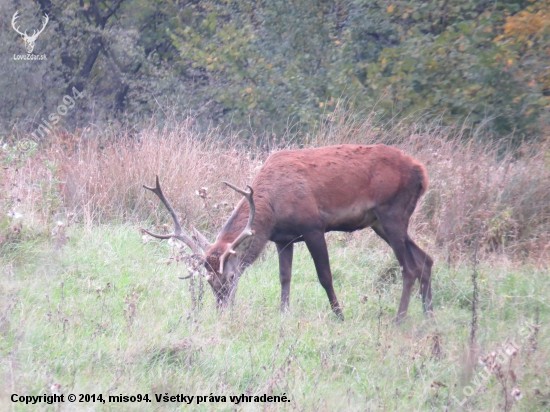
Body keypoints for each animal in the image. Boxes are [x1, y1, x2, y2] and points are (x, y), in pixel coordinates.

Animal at [143, 144, 436, 322]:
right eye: (210, 282)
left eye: (231, 276)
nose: (222, 310)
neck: (272, 212)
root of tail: (422, 172)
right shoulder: (283, 239)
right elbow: (284, 277)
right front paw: (283, 313)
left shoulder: (313, 227)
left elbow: (325, 276)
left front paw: (339, 315)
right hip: (380, 221)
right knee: (426, 259)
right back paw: (428, 315)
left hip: (392, 212)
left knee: (409, 266)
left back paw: (399, 319)